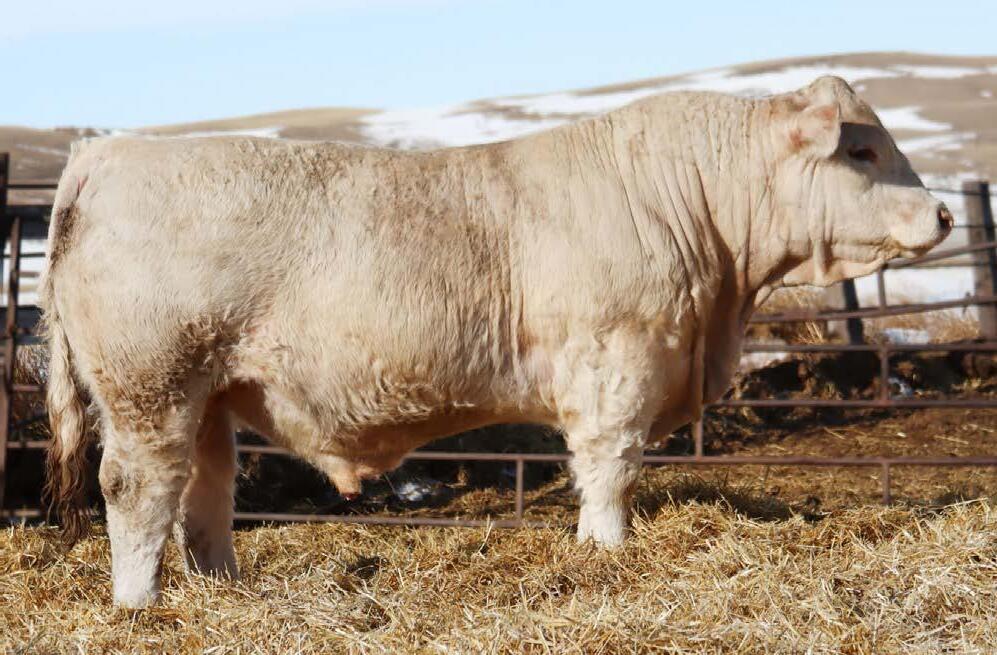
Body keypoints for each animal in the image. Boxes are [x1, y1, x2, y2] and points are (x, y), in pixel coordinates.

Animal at [42, 76, 952, 607]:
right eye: (862, 148)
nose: (943, 213)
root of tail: (106, 154)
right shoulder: (617, 358)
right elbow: (609, 465)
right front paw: (609, 550)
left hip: (207, 395)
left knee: (204, 493)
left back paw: (223, 589)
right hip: (150, 383)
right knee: (136, 488)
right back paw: (139, 604)